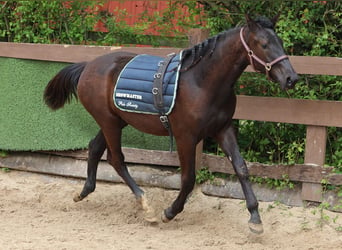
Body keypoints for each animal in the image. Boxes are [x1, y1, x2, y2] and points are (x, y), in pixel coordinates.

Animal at [43, 14, 300, 233]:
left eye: (280, 43)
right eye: (264, 44)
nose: (291, 78)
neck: (202, 82)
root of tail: (87, 66)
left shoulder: (223, 129)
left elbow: (241, 168)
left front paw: (255, 219)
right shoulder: (186, 137)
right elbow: (188, 179)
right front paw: (169, 212)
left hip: (116, 121)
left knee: (95, 148)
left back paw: (84, 192)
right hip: (109, 123)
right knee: (116, 159)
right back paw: (146, 206)